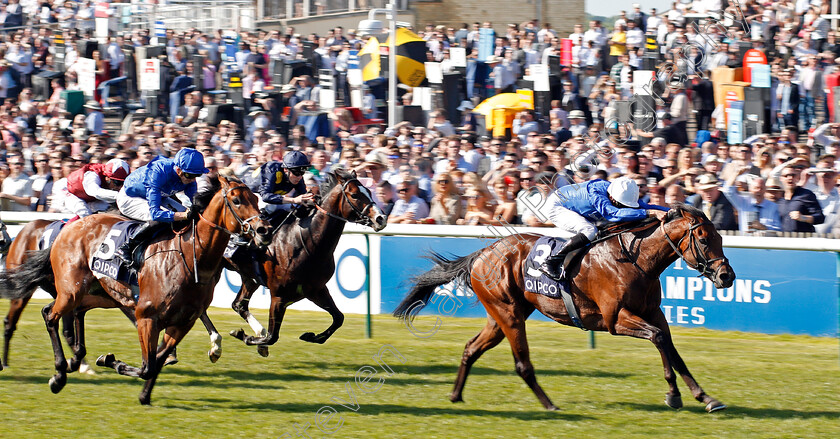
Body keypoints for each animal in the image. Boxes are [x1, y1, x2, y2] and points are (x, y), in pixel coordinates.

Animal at [0, 176, 270, 406]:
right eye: (237, 200)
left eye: (257, 200)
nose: (263, 230)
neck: (189, 255)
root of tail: (67, 230)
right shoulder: (146, 316)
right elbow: (147, 365)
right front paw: (110, 361)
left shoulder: (182, 322)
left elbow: (157, 361)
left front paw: (145, 395)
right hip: (70, 291)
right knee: (47, 316)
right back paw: (56, 373)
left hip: (95, 293)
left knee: (70, 313)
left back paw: (74, 360)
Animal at [228, 168, 388, 354]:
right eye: (354, 195)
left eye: (369, 191)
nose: (381, 218)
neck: (303, 241)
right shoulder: (279, 295)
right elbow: (272, 336)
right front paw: (246, 337)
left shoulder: (316, 290)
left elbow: (339, 318)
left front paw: (311, 336)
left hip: (250, 278)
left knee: (239, 304)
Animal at [394, 205, 736, 412]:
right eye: (703, 239)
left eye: (719, 236)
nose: (726, 276)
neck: (637, 259)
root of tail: (482, 253)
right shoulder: (615, 319)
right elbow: (658, 338)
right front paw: (674, 395)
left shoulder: (654, 313)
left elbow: (672, 349)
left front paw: (705, 397)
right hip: (509, 315)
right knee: (522, 365)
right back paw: (550, 405)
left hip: (502, 315)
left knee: (471, 348)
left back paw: (456, 394)